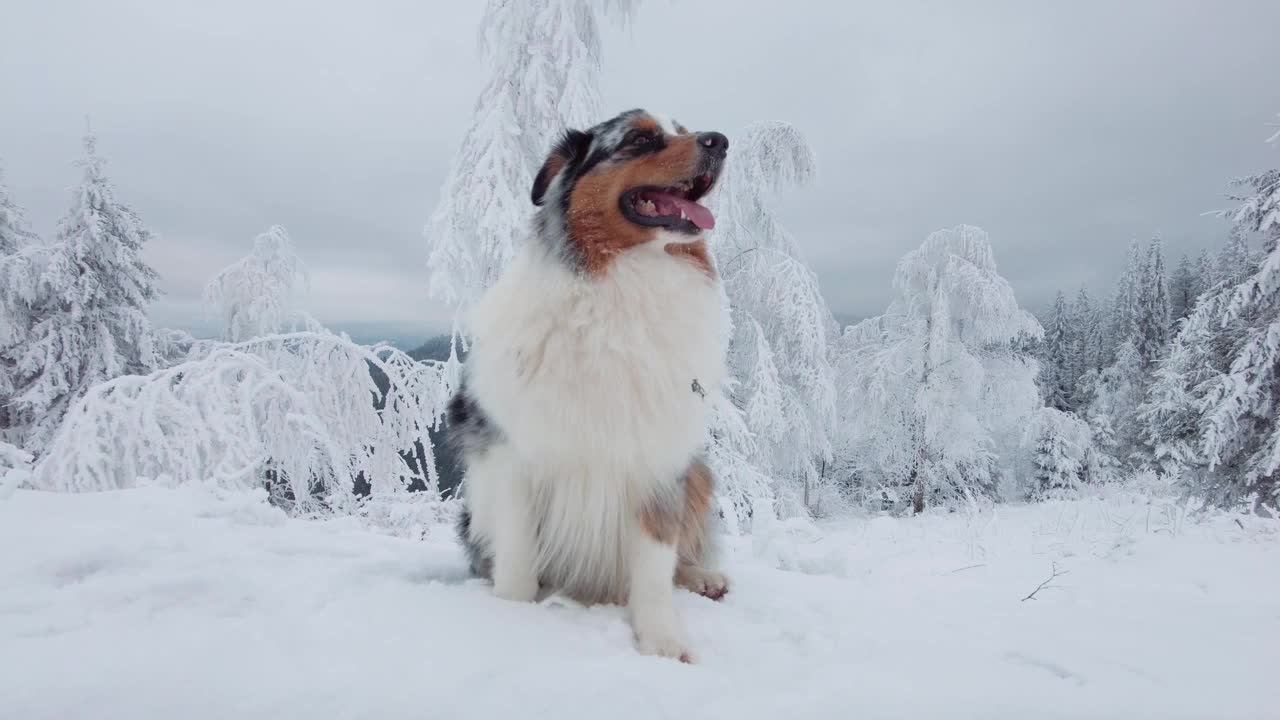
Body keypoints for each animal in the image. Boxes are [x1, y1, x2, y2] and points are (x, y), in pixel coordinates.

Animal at [448, 107, 732, 661]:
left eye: (685, 129)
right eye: (640, 139)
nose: (721, 140)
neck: (622, 286)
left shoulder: (658, 458)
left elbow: (654, 565)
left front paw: (663, 643)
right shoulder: (512, 455)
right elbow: (517, 562)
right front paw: (507, 618)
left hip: (700, 472)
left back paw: (704, 577)